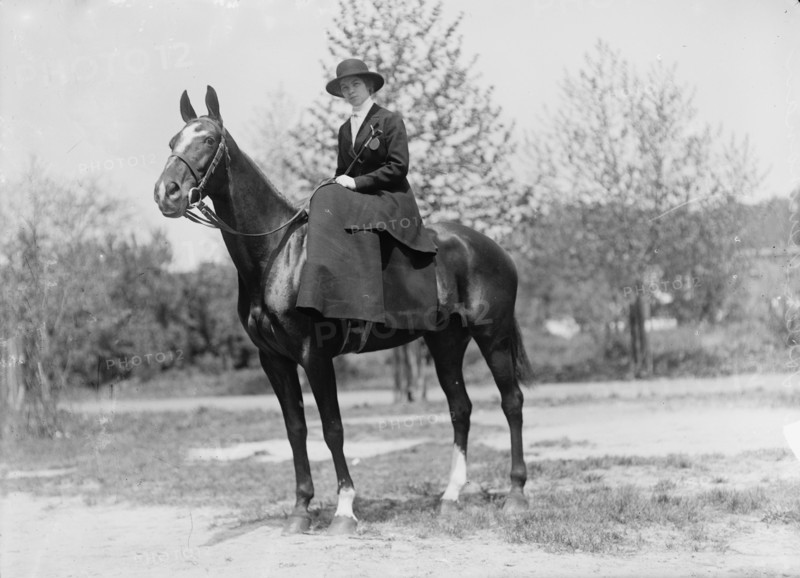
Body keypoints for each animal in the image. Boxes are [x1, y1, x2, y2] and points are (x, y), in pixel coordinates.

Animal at [153, 86, 533, 535]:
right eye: (172, 142)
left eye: (209, 140)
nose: (166, 193)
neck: (278, 255)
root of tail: (494, 248)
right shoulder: (274, 360)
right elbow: (295, 429)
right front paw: (300, 508)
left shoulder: (315, 356)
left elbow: (332, 428)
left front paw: (344, 510)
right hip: (445, 342)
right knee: (461, 408)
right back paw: (451, 496)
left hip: (493, 337)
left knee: (512, 402)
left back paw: (516, 494)